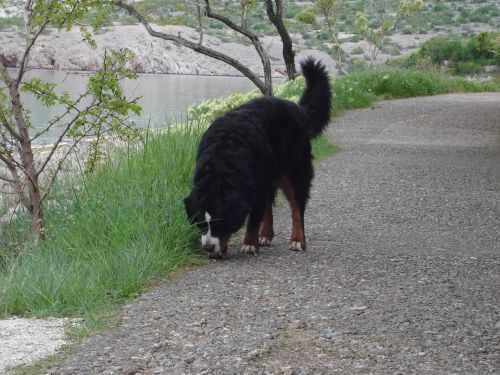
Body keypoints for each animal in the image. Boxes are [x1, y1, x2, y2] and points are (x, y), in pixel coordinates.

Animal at [184, 58, 332, 258]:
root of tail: (299, 109)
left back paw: (297, 240)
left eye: (218, 223)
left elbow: (254, 218)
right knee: (269, 206)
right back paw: (265, 235)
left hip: (295, 171)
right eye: (201, 223)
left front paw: (249, 243)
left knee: (297, 208)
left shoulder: (256, 186)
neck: (222, 158)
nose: (207, 247)